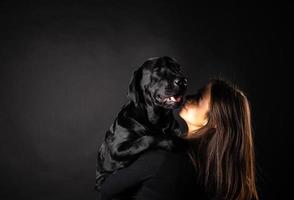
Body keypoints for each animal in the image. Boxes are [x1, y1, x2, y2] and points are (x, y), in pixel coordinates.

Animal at [96, 56, 188, 191]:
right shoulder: (116, 149)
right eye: (157, 70)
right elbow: (147, 139)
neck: (159, 120)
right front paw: (172, 142)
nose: (183, 81)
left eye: (179, 68)